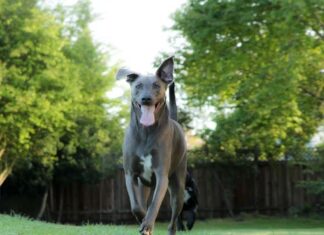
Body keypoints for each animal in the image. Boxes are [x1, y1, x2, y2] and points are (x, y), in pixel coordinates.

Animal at [116, 57, 187, 235]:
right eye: (138, 86)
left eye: (156, 85)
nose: (146, 98)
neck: (146, 132)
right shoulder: (130, 174)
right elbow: (136, 206)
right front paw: (143, 221)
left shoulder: (162, 175)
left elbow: (154, 204)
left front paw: (147, 224)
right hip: (144, 185)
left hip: (178, 186)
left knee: (173, 220)